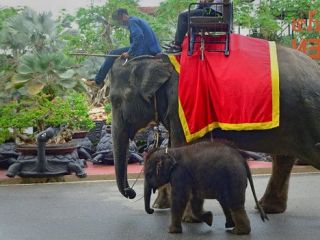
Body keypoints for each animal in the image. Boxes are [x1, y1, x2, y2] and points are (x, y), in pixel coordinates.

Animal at [109, 45, 320, 216]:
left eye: (115, 100)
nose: (130, 192)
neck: (156, 60)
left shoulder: (184, 106)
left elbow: (181, 147)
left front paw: (183, 216)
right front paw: (163, 206)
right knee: (283, 157)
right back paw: (269, 208)